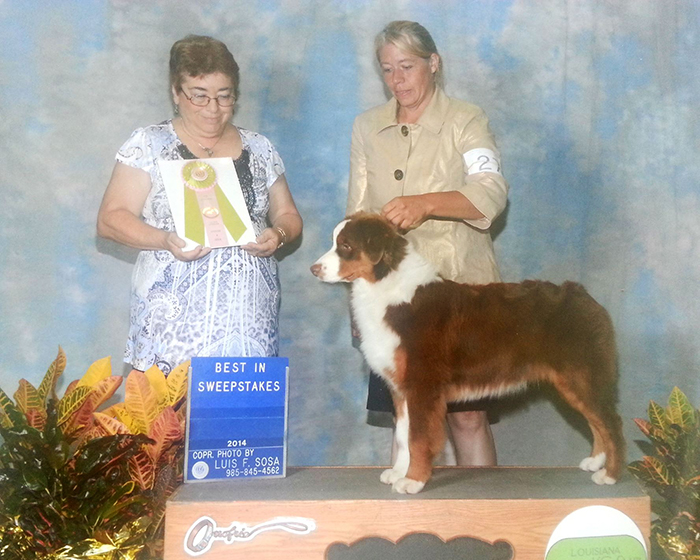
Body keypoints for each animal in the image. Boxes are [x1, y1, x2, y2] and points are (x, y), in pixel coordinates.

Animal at [311, 213, 625, 494]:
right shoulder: (401, 387)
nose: (314, 269)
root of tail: (583, 296)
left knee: (610, 422)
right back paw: (594, 462)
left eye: (346, 246)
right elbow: (402, 435)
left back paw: (610, 475)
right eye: (335, 242)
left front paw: (413, 481)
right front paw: (399, 472)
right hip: (574, 381)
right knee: (596, 421)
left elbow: (418, 437)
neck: (386, 286)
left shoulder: (423, 384)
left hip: (582, 375)